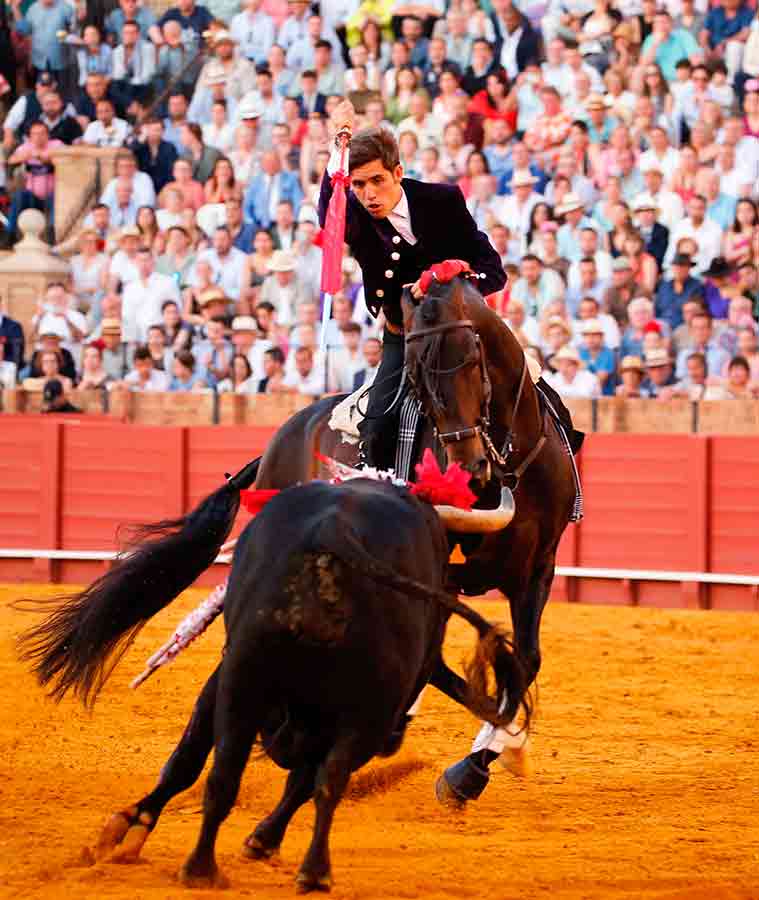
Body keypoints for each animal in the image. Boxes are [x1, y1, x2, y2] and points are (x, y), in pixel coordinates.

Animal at [19, 478, 528, 892]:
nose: (396, 739)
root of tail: (334, 533)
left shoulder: (233, 682)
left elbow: (198, 761)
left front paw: (131, 827)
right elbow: (293, 778)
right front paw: (257, 840)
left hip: (251, 680)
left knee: (228, 773)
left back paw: (204, 869)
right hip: (357, 706)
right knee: (316, 777)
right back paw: (309, 871)